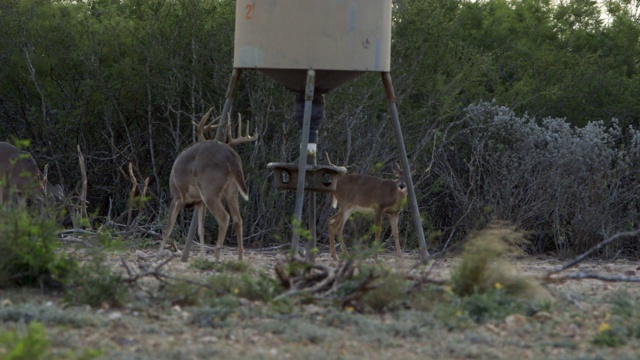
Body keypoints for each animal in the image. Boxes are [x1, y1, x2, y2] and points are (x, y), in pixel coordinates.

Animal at [158, 108, 258, 260]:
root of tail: (232, 157)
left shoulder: (176, 196)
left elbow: (168, 228)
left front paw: (158, 254)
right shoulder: (200, 202)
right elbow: (200, 229)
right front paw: (202, 255)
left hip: (210, 189)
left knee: (224, 218)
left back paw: (216, 256)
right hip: (232, 190)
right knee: (238, 219)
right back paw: (240, 258)